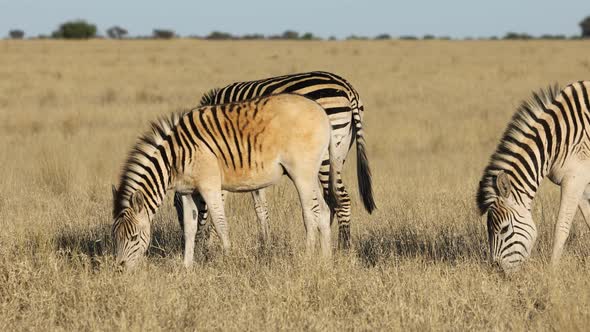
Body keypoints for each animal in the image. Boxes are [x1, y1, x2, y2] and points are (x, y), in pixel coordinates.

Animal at [112, 94, 340, 270]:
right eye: (116, 237)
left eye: (134, 237)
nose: (120, 269)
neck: (174, 157)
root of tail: (321, 111)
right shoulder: (187, 191)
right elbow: (190, 229)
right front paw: (187, 267)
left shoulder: (209, 185)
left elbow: (220, 224)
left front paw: (229, 259)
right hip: (312, 173)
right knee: (323, 210)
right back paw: (325, 260)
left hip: (301, 172)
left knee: (309, 213)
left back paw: (308, 259)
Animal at [176, 70, 376, 252]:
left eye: (177, 206)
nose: (187, 241)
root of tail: (347, 89)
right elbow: (260, 207)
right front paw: (266, 244)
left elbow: (221, 202)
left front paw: (211, 244)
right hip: (338, 153)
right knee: (331, 198)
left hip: (324, 153)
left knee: (341, 198)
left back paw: (343, 248)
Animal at [478, 81, 590, 272]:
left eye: (504, 229)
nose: (496, 270)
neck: (557, 139)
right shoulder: (582, 181)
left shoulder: (575, 178)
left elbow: (561, 226)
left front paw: (552, 271)